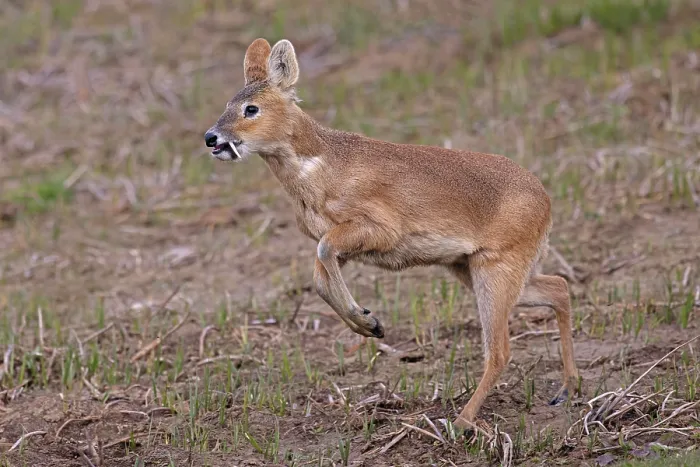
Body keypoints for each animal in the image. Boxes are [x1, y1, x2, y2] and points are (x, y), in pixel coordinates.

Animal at [203, 37, 581, 430]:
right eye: (228, 103)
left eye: (251, 108)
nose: (211, 138)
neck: (321, 169)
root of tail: (545, 201)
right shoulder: (344, 242)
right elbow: (319, 277)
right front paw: (369, 324)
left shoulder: (379, 228)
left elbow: (323, 254)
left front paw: (368, 321)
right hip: (473, 267)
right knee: (558, 288)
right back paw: (566, 389)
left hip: (497, 268)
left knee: (501, 350)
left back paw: (461, 422)